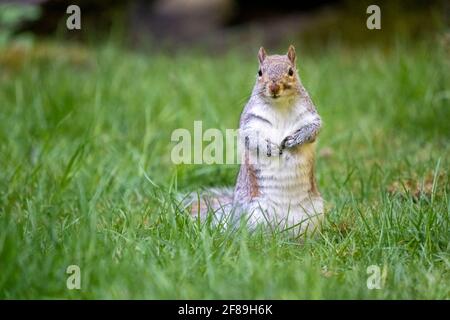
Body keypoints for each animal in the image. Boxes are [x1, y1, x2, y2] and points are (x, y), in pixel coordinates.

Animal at [186, 45, 324, 235]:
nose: (274, 87)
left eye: (291, 71)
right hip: (255, 212)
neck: (279, 105)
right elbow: (251, 139)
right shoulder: (250, 122)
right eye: (260, 72)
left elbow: (313, 129)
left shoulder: (309, 116)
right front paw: (271, 148)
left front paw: (295, 140)